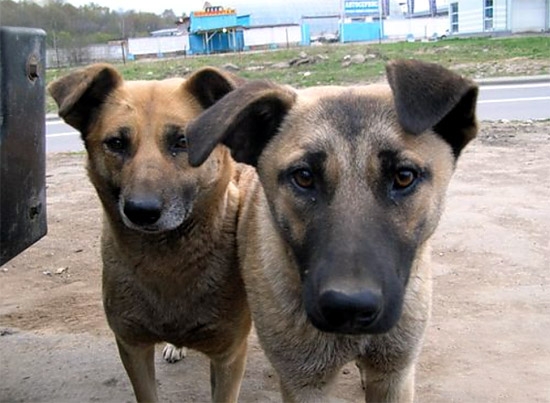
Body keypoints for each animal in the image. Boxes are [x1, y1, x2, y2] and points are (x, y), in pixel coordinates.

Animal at [49, 64, 252, 402]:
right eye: (116, 143)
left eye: (183, 141)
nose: (141, 211)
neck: (167, 262)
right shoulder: (132, 348)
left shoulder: (228, 357)